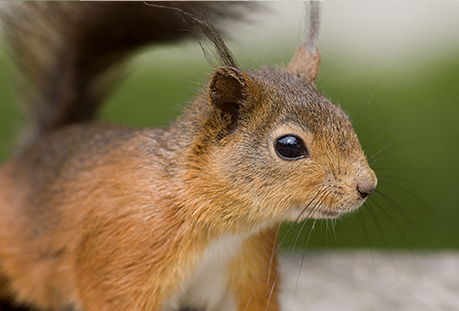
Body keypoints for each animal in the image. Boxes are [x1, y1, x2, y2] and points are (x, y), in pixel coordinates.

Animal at [0, 2, 378, 311]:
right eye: (289, 146)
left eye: (344, 119)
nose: (367, 186)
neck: (223, 228)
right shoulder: (120, 265)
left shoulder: (247, 275)